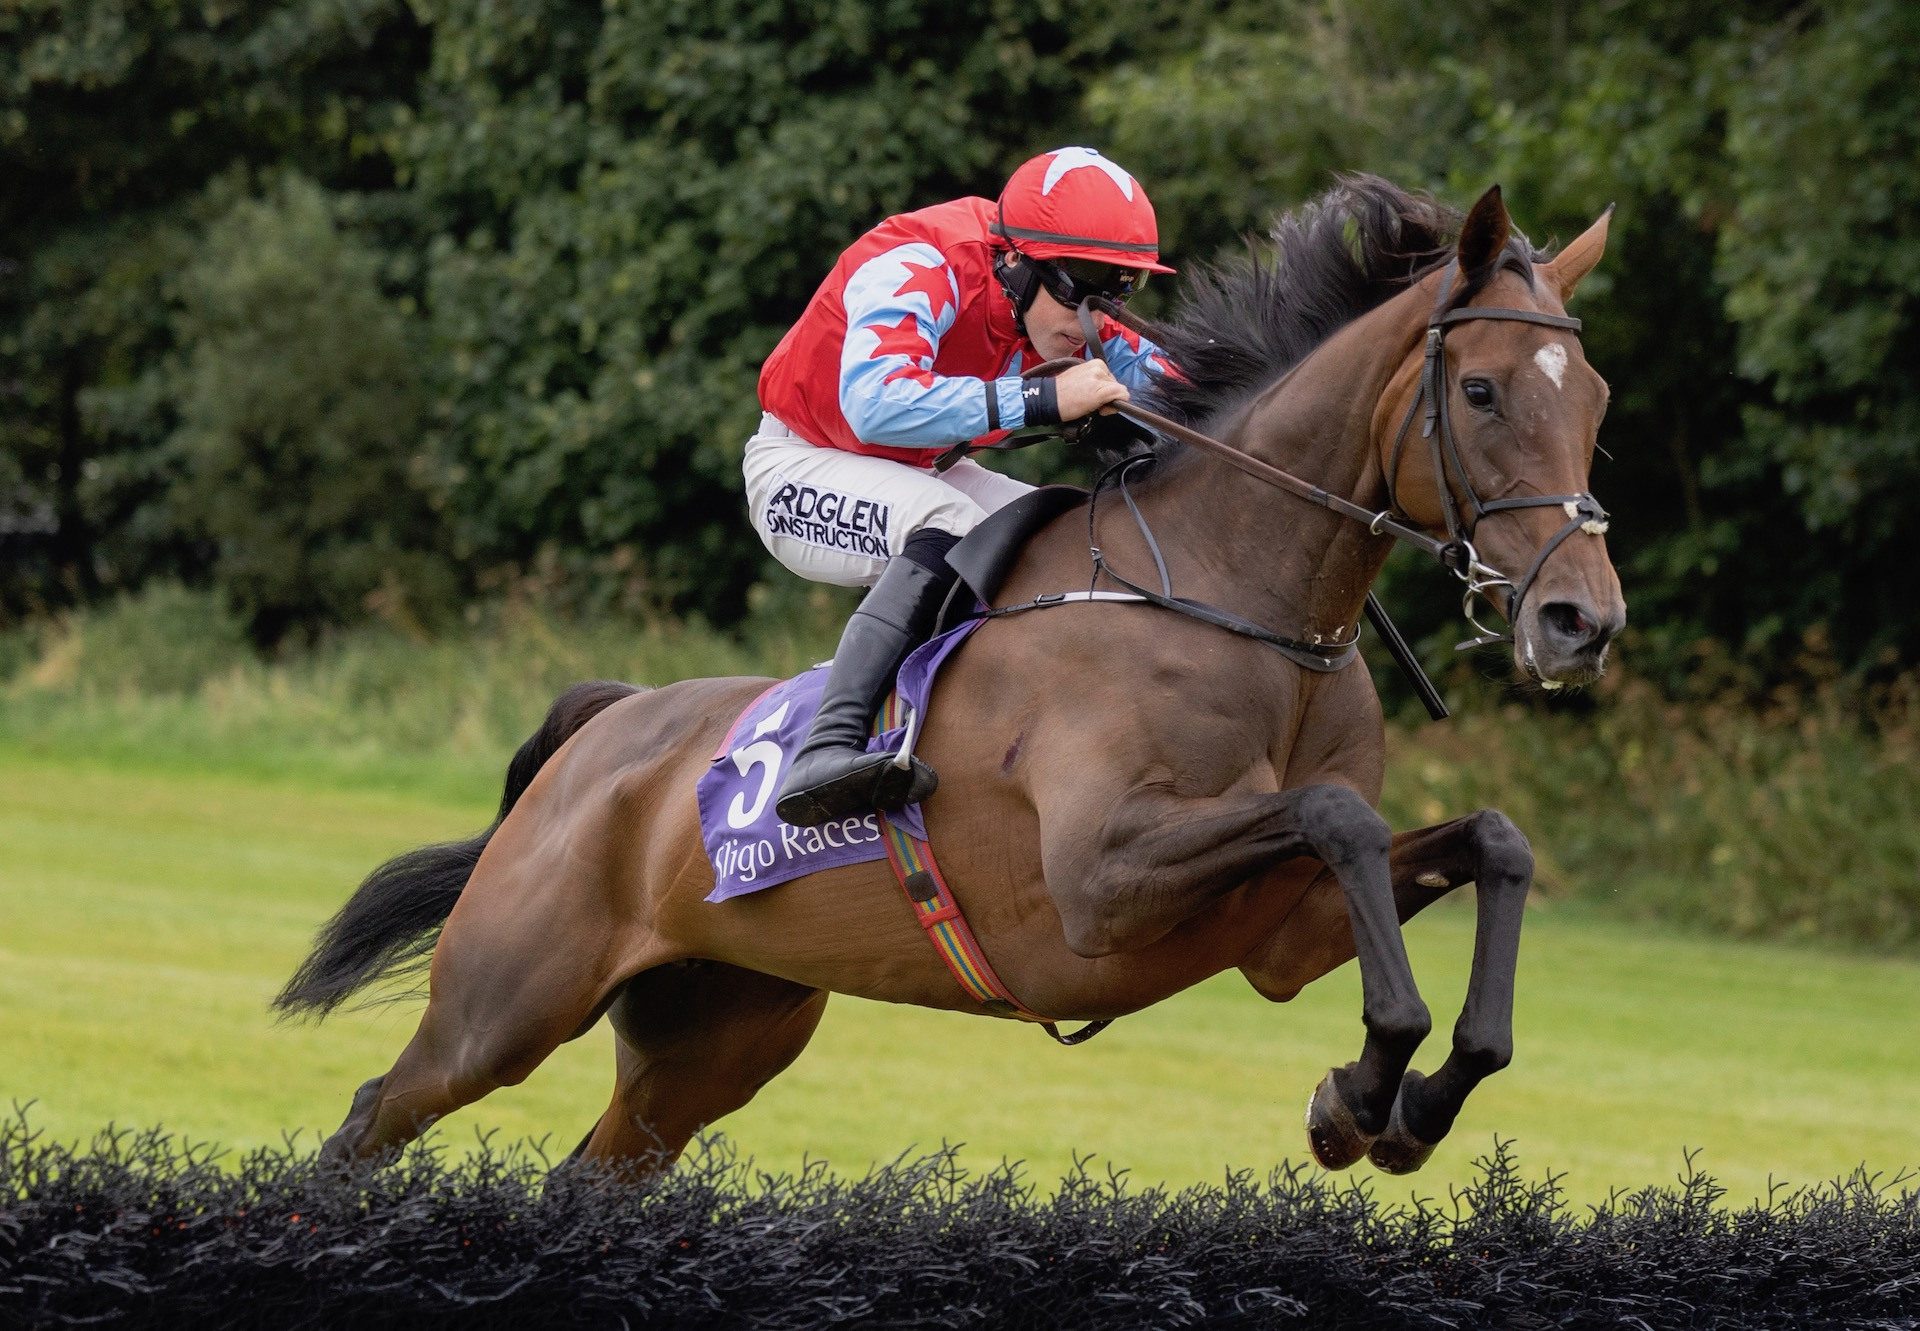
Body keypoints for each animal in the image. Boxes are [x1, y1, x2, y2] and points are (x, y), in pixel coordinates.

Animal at [274, 173, 1620, 1175]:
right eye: (1482, 389)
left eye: (1595, 399)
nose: (1580, 621)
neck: (1235, 600)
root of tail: (606, 730)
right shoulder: (1102, 883)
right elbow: (1340, 814)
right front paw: (1365, 1090)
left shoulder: (1276, 933)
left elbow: (1489, 840)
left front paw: (1397, 1099)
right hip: (502, 1005)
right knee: (370, 1119)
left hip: (712, 1036)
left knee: (591, 1169)